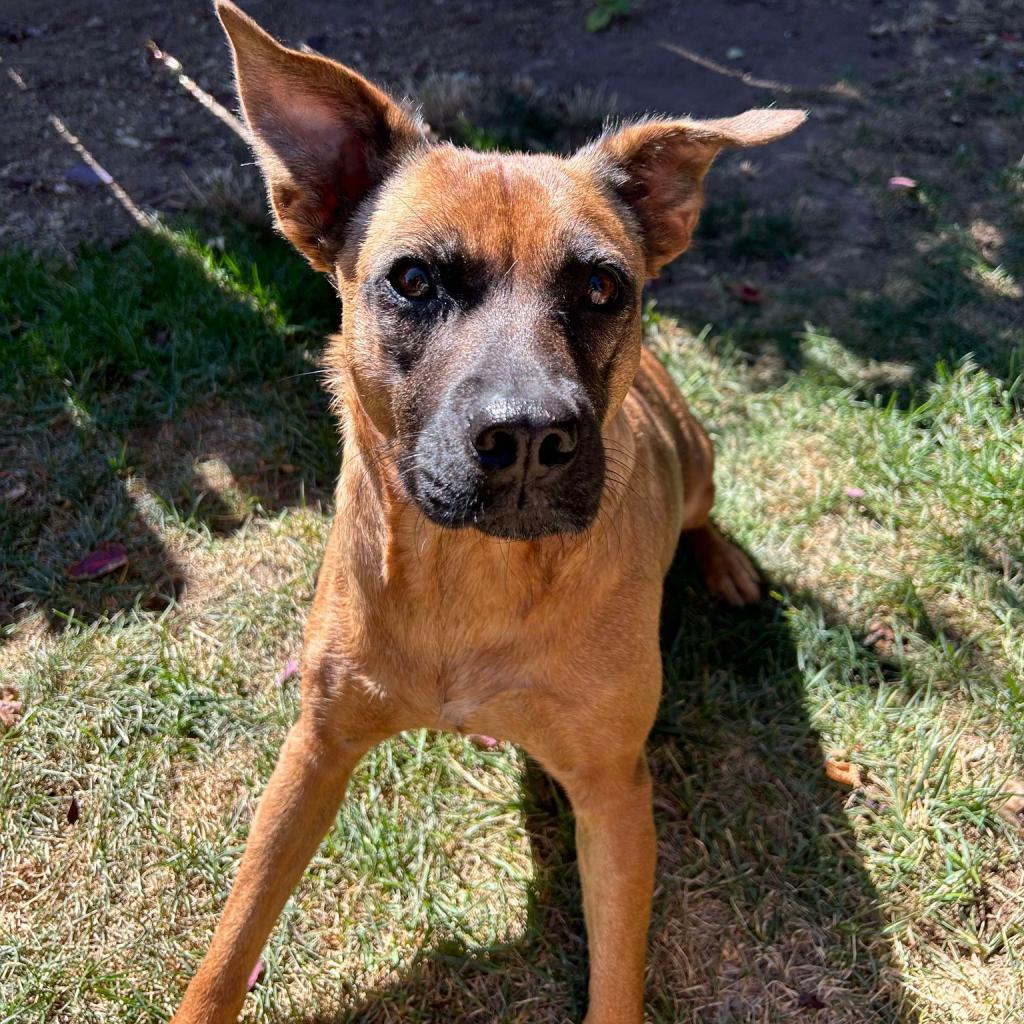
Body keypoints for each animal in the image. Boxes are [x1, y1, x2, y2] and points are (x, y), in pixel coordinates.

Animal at [172, 4, 802, 1019]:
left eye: (601, 287)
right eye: (414, 281)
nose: (532, 438)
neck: (471, 573)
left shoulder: (613, 791)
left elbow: (618, 968)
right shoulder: (314, 749)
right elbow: (234, 936)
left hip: (699, 457)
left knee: (703, 513)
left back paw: (726, 564)